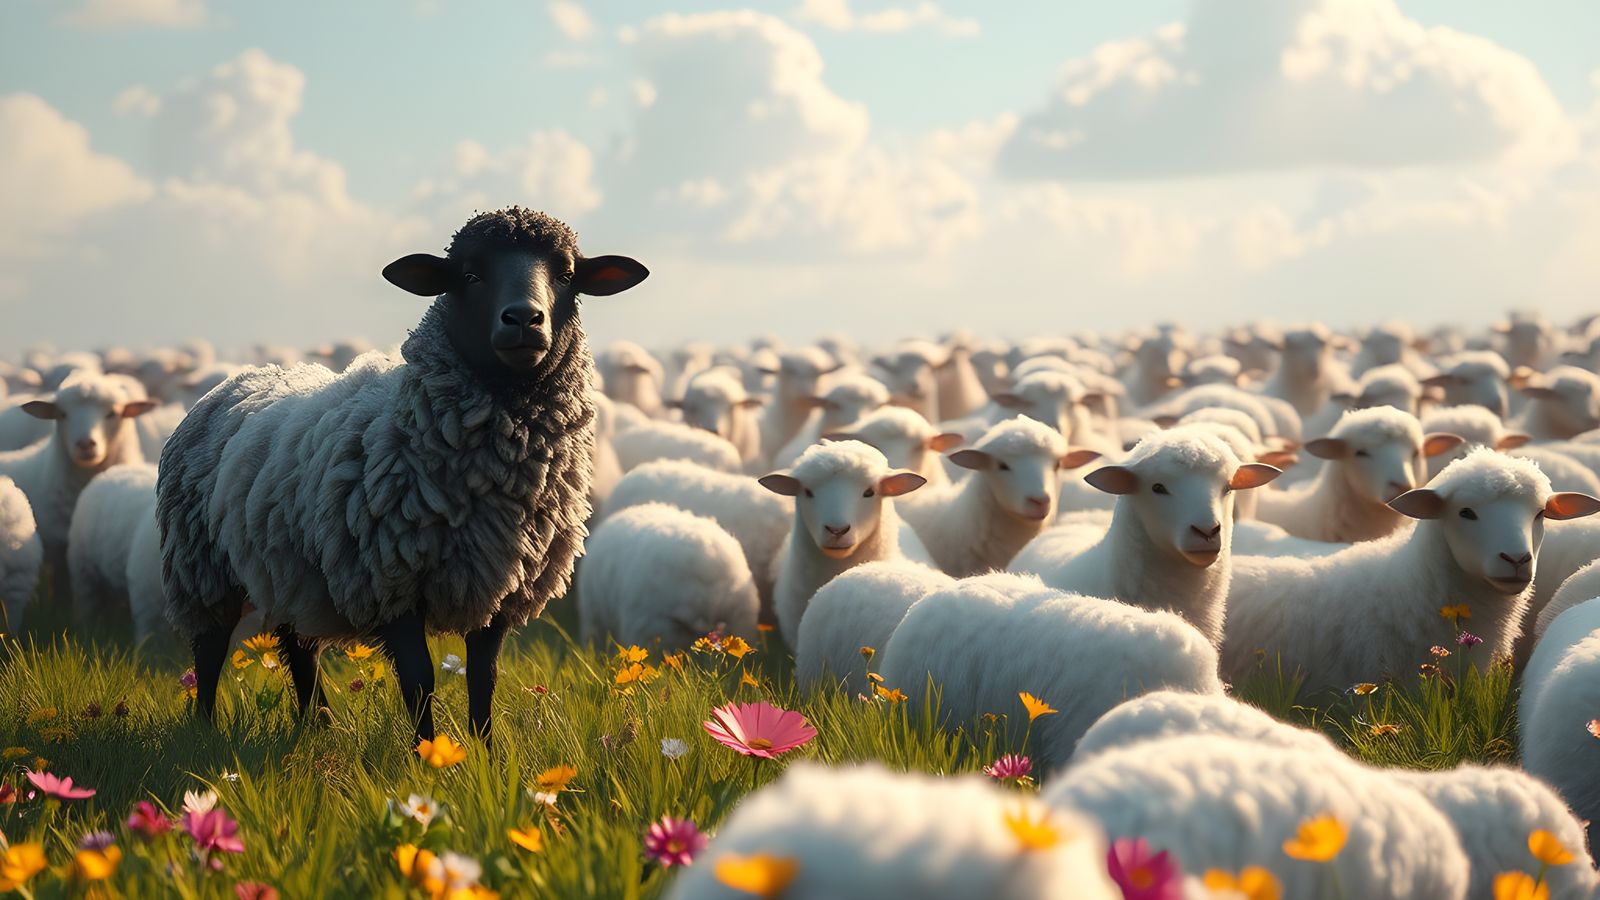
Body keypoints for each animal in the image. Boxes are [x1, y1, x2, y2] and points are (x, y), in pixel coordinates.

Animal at [157, 207, 647, 743]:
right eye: (469, 276)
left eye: (566, 275)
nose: (523, 319)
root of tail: (245, 375)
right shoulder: (390, 579)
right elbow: (419, 679)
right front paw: (428, 753)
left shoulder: (501, 583)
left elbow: (485, 678)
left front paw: (484, 752)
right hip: (202, 567)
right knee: (209, 651)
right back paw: (204, 728)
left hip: (289, 563)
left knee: (299, 646)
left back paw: (321, 724)